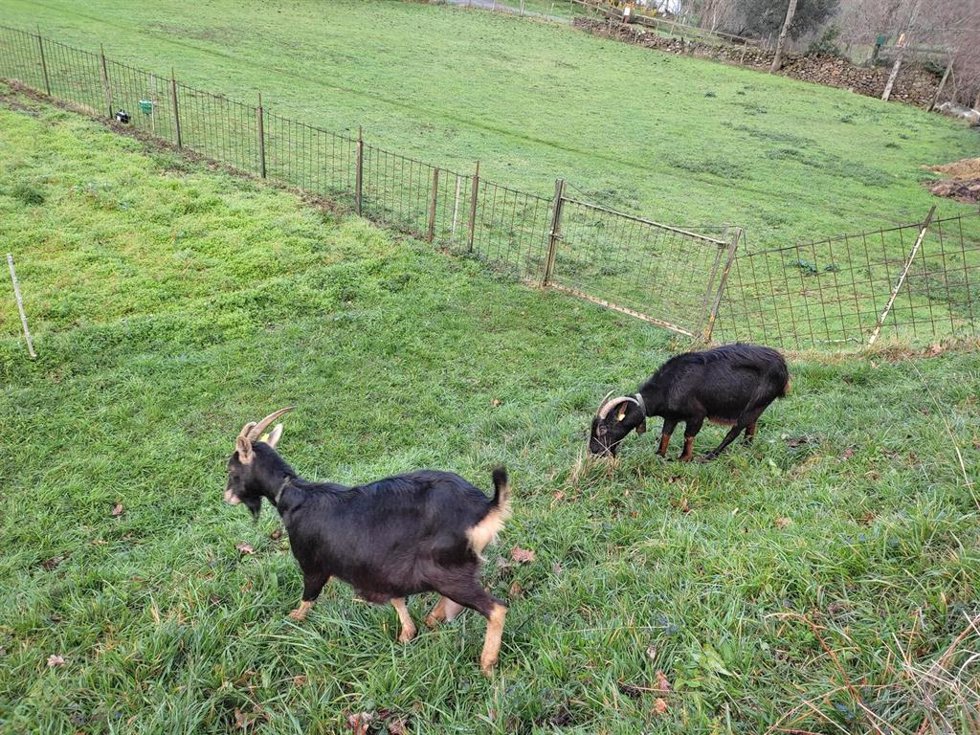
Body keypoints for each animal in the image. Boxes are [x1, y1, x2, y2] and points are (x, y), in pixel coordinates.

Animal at [223, 408, 511, 675]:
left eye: (231, 469)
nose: (227, 497)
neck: (294, 496)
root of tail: (487, 507)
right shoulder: (382, 567)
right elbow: (397, 599)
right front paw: (407, 633)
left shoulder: (313, 564)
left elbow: (308, 597)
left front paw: (292, 620)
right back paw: (434, 619)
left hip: (444, 570)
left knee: (496, 609)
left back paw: (487, 664)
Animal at [589, 344, 789, 461]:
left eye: (604, 428)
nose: (594, 450)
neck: (669, 387)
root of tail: (784, 368)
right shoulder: (671, 417)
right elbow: (666, 434)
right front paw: (659, 455)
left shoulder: (697, 415)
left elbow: (688, 435)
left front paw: (683, 458)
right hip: (757, 405)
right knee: (751, 424)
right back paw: (746, 446)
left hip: (757, 402)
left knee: (735, 430)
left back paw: (710, 456)